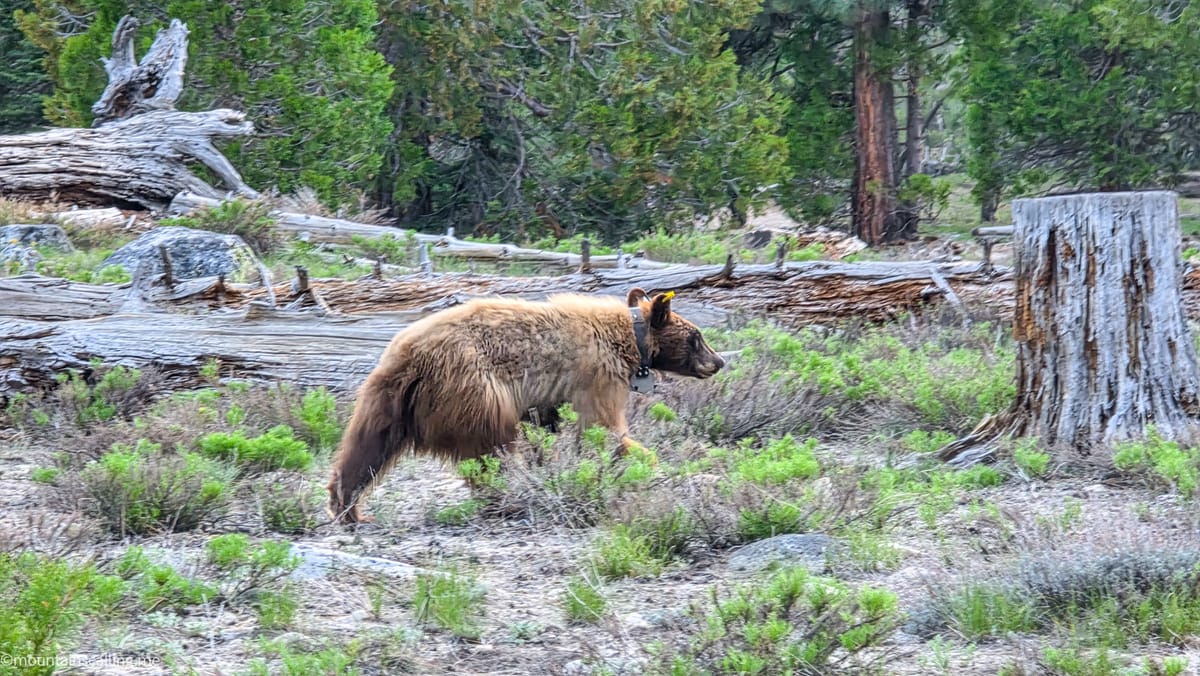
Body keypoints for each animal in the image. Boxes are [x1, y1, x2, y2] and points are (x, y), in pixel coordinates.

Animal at [326, 287, 725, 524]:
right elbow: (603, 427)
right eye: (697, 336)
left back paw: (347, 507)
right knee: (491, 447)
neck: (629, 340)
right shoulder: (595, 374)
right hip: (474, 390)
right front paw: (663, 464)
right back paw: (505, 493)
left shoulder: (549, 398)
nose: (719, 361)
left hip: (386, 397)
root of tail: (412, 356)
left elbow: (552, 427)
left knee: (366, 446)